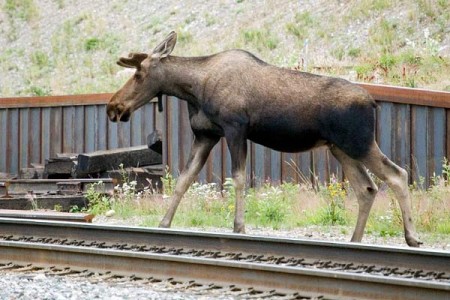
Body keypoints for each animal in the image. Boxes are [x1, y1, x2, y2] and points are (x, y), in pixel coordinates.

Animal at [106, 31, 422, 246]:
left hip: (359, 142)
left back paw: (412, 237)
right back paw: (355, 241)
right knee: (367, 188)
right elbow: (184, 179)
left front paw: (239, 227)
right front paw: (164, 224)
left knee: (397, 174)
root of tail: (373, 103)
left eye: (139, 73)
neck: (193, 89)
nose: (113, 106)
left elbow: (239, 178)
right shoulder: (206, 135)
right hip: (340, 148)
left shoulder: (235, 128)